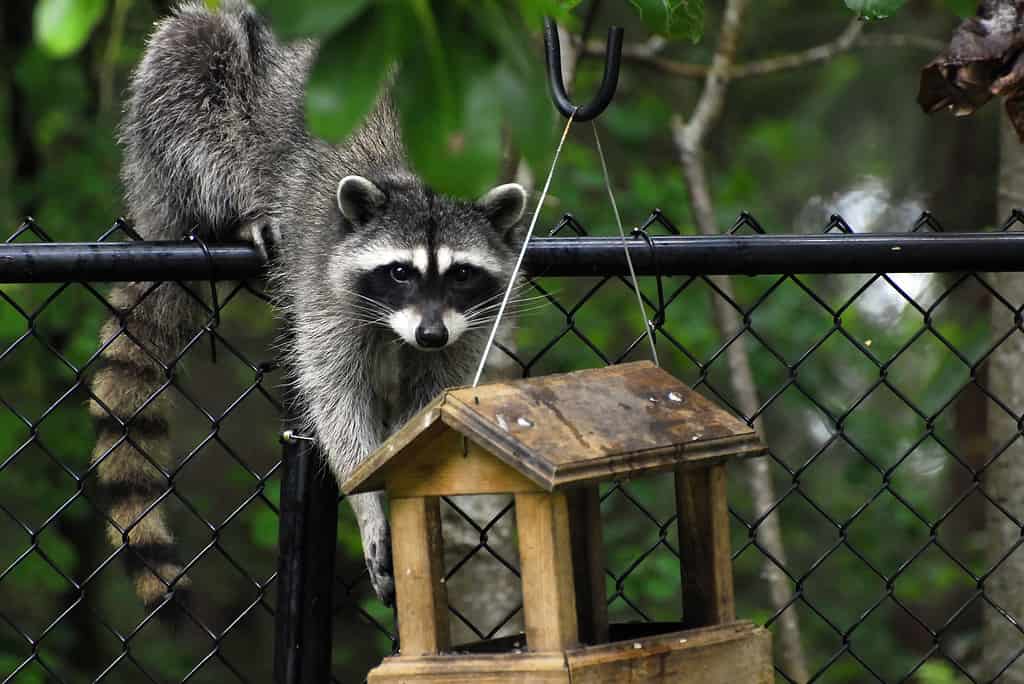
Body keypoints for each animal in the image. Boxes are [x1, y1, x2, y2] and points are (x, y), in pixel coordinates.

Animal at [93, 0, 528, 610]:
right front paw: (368, 502)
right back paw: (237, 211)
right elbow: (335, 396)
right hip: (174, 122)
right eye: (400, 272)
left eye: (461, 274)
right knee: (192, 70)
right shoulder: (320, 273)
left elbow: (430, 402)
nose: (430, 335)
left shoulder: (471, 318)